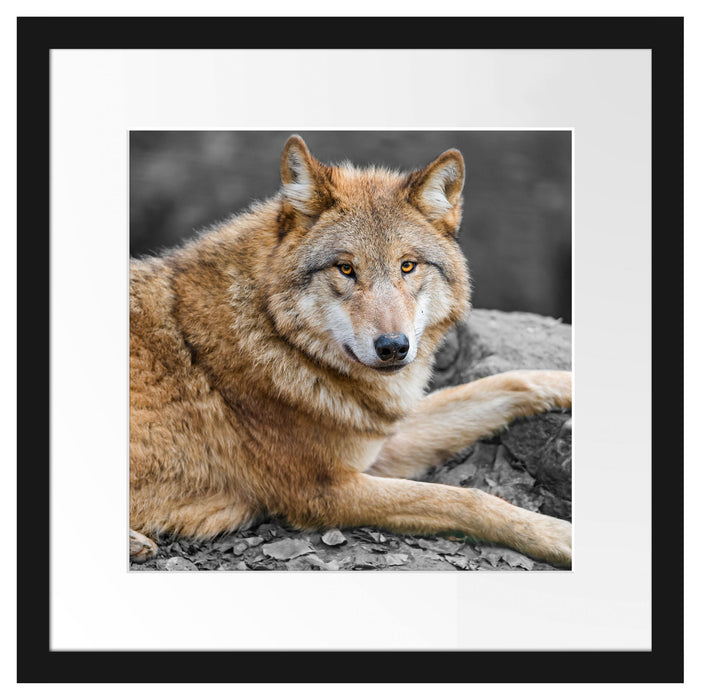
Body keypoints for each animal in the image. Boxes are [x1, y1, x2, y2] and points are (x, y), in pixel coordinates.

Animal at [129, 135, 572, 567]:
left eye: (407, 266)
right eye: (346, 269)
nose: (393, 347)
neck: (274, 334)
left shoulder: (377, 440)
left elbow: (508, 381)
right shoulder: (325, 491)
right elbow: (465, 499)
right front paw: (558, 536)